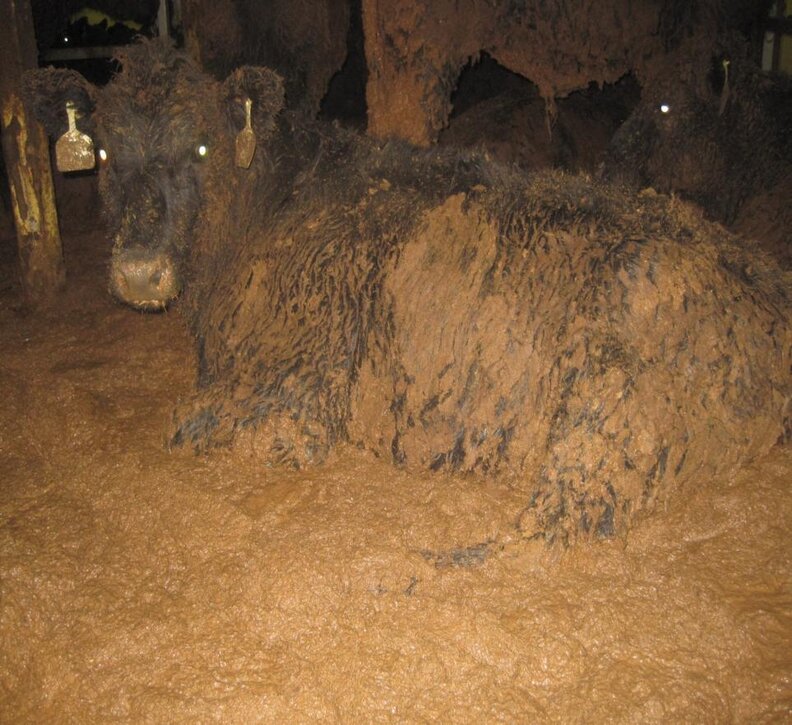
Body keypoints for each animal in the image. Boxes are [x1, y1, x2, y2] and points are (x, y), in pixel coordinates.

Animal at [25, 40, 791, 544]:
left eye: (204, 149)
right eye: (103, 152)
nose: (138, 272)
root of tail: (763, 272)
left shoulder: (294, 392)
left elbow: (191, 428)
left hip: (613, 413)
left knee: (562, 519)